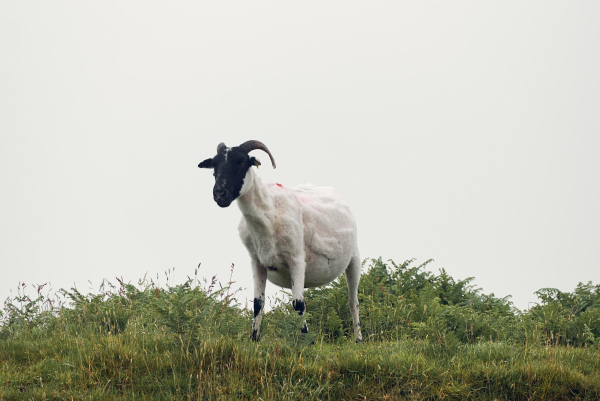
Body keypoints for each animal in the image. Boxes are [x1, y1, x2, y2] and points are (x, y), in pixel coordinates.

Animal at [199, 141, 364, 340]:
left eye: (242, 162)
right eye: (214, 165)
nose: (220, 194)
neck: (268, 215)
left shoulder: (297, 259)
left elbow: (298, 304)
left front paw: (306, 341)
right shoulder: (257, 262)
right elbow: (258, 303)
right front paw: (254, 339)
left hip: (354, 258)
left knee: (353, 302)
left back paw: (358, 339)